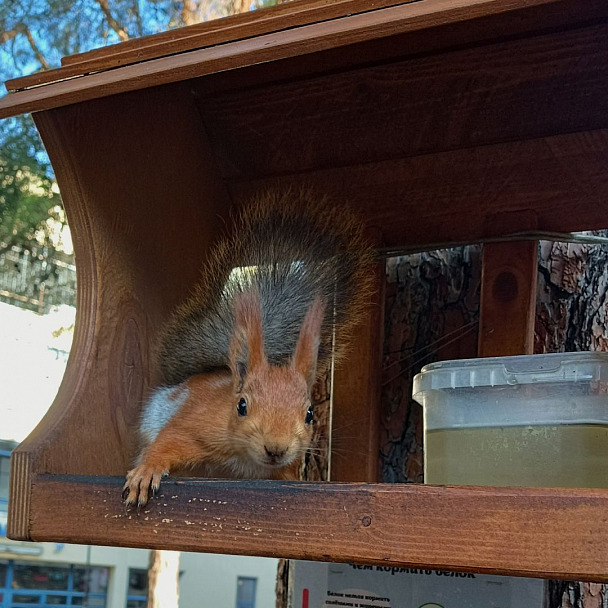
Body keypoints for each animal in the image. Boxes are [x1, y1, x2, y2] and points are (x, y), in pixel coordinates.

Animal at [121, 190, 372, 508]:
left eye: (309, 414)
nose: (276, 449)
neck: (245, 462)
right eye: (241, 406)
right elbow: (166, 443)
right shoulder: (192, 424)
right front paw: (146, 472)